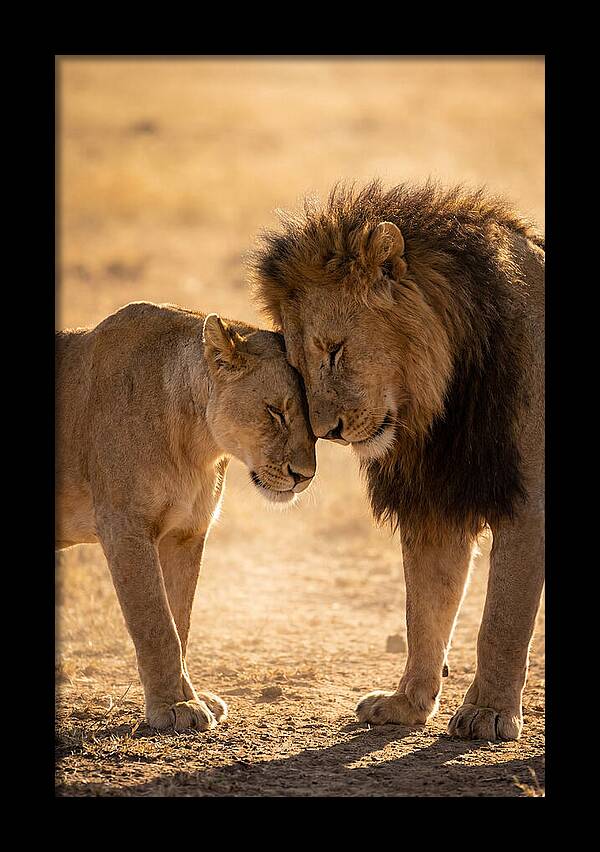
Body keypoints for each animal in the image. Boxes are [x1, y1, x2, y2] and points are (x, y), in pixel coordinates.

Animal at [55, 301, 316, 731]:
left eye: (317, 424)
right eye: (275, 412)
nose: (305, 476)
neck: (197, 443)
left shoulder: (186, 534)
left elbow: (180, 621)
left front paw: (191, 697)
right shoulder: (124, 527)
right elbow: (157, 624)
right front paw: (173, 707)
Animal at [251, 180, 544, 741]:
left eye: (335, 350)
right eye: (297, 366)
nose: (328, 432)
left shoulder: (529, 503)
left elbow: (502, 619)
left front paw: (489, 711)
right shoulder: (435, 504)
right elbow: (424, 611)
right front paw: (407, 704)